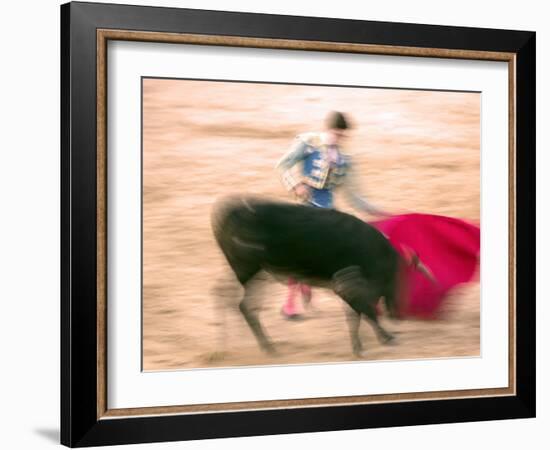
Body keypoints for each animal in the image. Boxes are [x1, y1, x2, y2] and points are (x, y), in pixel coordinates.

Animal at [211, 195, 406, 356]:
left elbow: (357, 313)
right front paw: (380, 340)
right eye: (393, 278)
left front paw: (364, 343)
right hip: (247, 270)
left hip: (254, 272)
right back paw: (261, 347)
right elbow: (364, 311)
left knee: (227, 296)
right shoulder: (347, 285)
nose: (396, 314)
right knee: (239, 302)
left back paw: (232, 345)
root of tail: (229, 212)